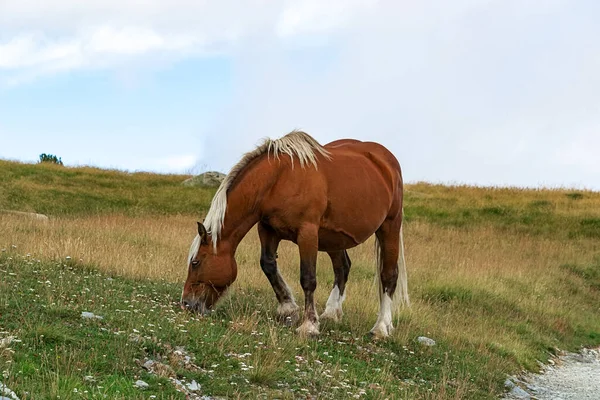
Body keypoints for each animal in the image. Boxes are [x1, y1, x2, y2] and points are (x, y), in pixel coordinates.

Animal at [180, 130, 410, 338]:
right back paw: (331, 313)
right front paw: (288, 309)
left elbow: (308, 278)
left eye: (196, 262)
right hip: (334, 238)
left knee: (388, 276)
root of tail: (386, 160)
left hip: (389, 226)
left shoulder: (307, 234)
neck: (278, 179)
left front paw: (309, 326)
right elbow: (268, 265)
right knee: (342, 268)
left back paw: (380, 328)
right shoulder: (268, 230)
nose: (186, 303)